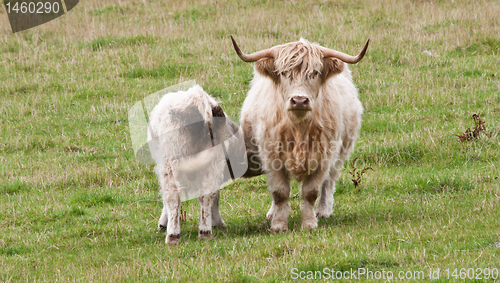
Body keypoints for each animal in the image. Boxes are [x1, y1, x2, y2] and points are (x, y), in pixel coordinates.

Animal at [147, 85, 243, 245]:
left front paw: (163, 223)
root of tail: (197, 98)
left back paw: (173, 235)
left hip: (172, 161)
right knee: (207, 194)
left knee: (173, 196)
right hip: (213, 162)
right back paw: (205, 231)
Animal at [232, 36, 370, 233]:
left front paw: (309, 223)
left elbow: (311, 192)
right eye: (283, 73)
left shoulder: (323, 158)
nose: (299, 100)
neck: (298, 128)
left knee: (329, 182)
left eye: (315, 72)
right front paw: (278, 225)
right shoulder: (272, 157)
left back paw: (323, 210)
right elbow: (279, 192)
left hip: (341, 152)